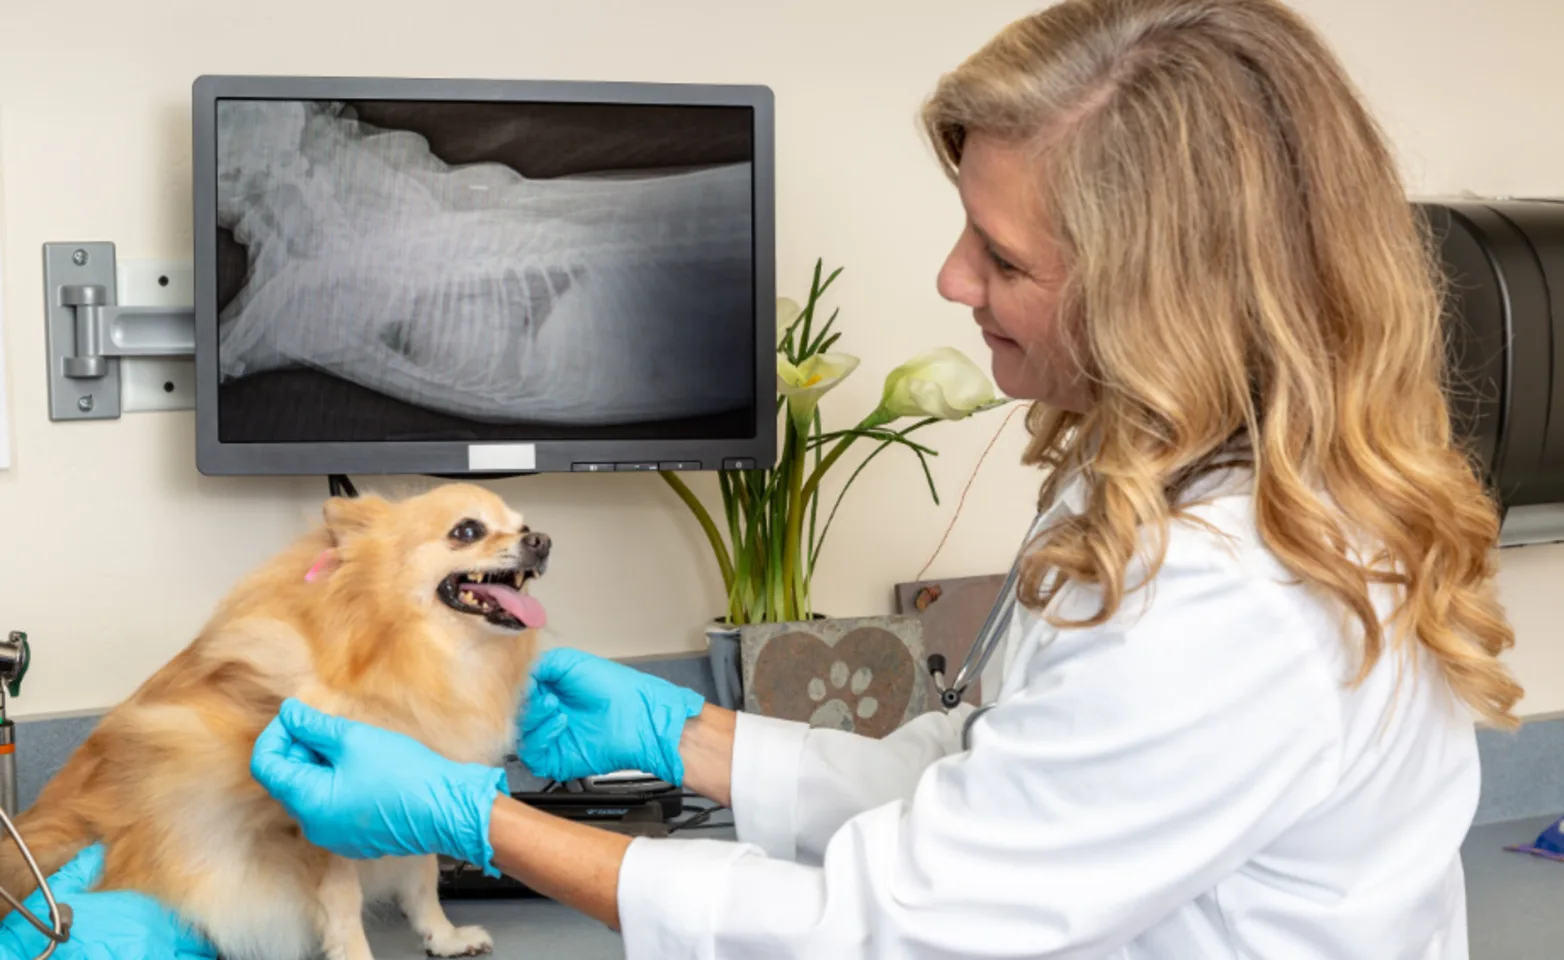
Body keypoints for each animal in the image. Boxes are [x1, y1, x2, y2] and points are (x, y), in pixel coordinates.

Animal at [0, 484, 550, 960]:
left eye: (523, 526)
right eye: (467, 530)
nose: (542, 541)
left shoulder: (414, 795)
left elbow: (422, 879)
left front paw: (444, 936)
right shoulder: (319, 830)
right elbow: (345, 906)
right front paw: (357, 955)